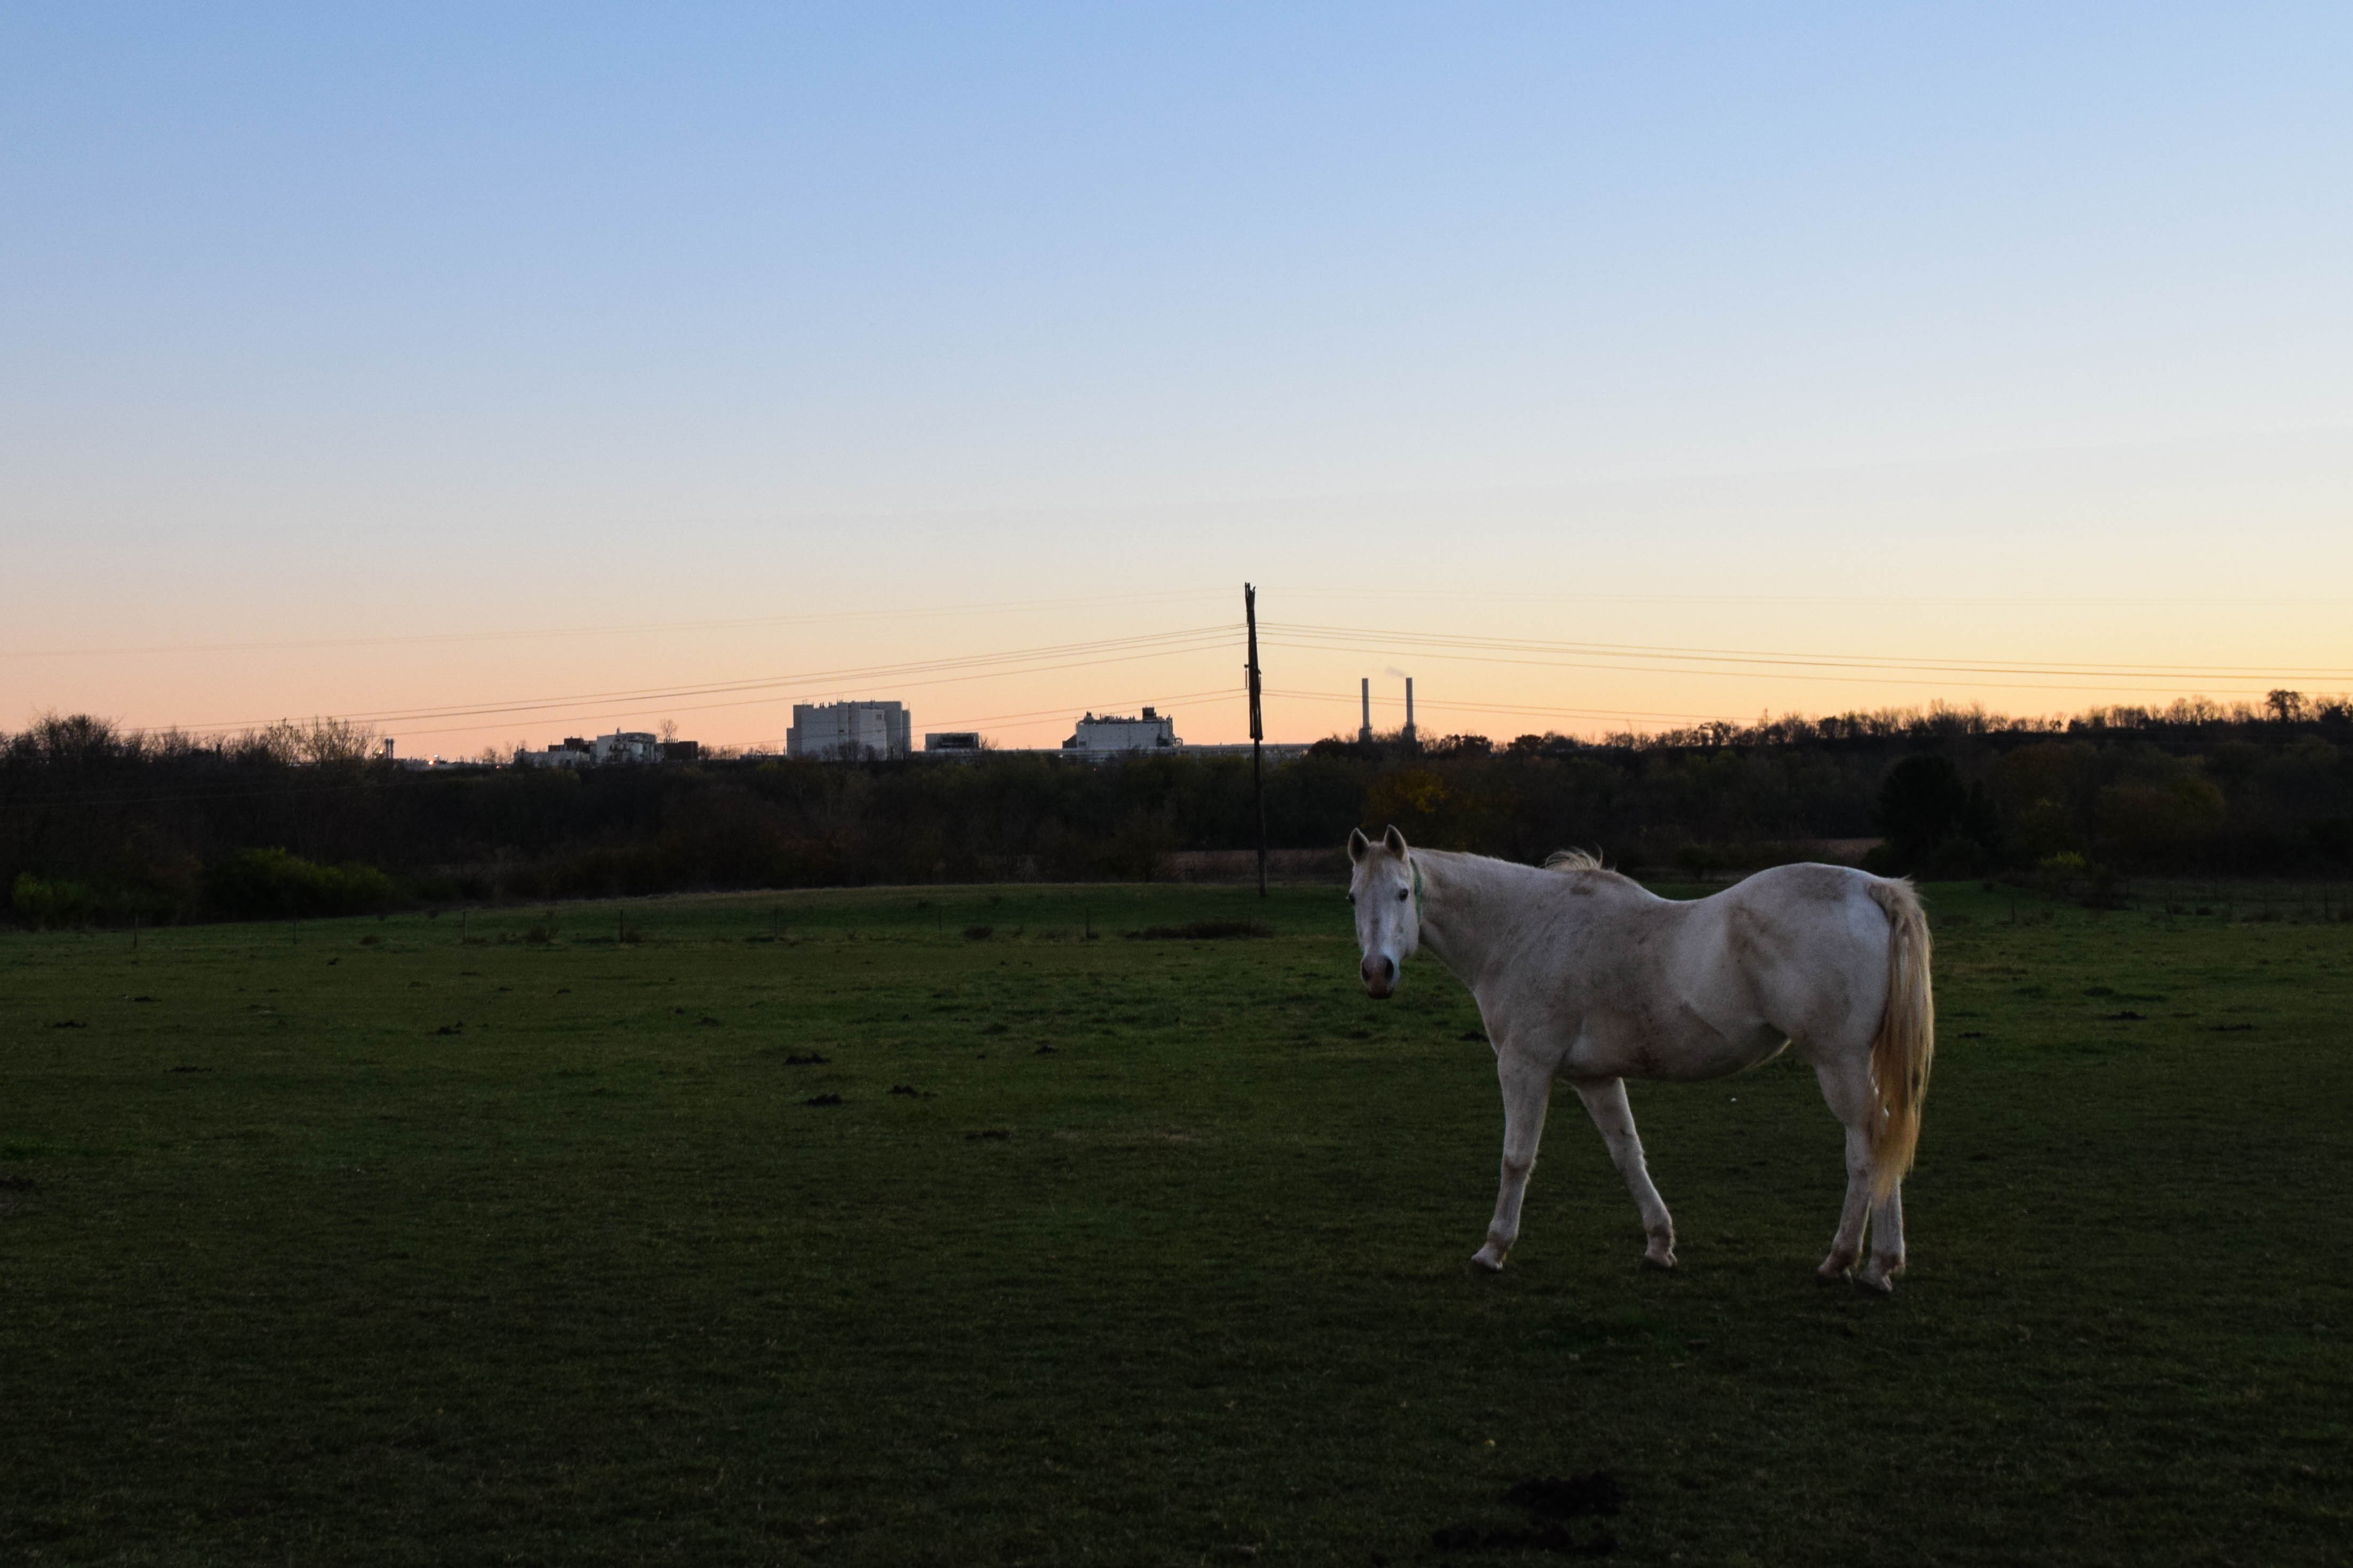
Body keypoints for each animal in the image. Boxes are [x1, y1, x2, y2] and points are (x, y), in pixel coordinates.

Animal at [1346, 825, 1933, 1292]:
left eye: (1402, 892)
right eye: (1352, 897)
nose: (1377, 973)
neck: (1521, 929)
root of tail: (1871, 888)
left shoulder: (1524, 1066)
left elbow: (1516, 1158)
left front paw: (1492, 1250)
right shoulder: (1595, 1078)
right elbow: (1628, 1154)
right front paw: (1658, 1244)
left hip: (1839, 1064)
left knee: (1870, 1145)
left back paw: (1852, 1262)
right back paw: (1877, 1263)